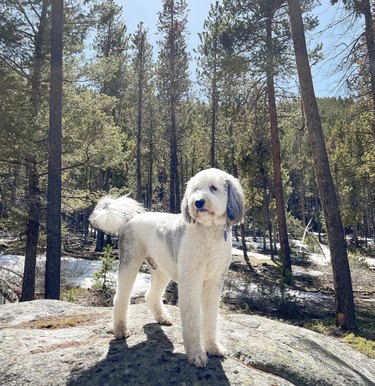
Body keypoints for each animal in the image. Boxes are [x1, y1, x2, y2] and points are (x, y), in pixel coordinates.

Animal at [89, 169, 245, 368]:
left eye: (213, 188)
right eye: (195, 189)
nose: (197, 202)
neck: (208, 233)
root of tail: (131, 218)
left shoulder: (214, 282)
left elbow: (210, 318)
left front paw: (213, 347)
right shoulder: (190, 282)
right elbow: (193, 319)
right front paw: (196, 354)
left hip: (161, 270)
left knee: (151, 295)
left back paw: (162, 317)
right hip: (130, 263)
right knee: (121, 298)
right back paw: (120, 329)